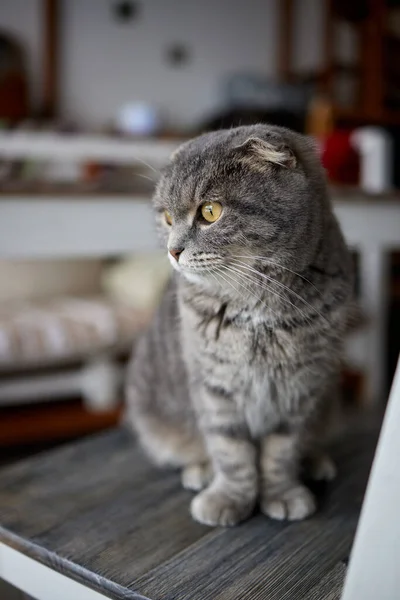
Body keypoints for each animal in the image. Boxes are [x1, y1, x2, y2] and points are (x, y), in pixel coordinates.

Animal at [125, 125, 354, 524]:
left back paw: (316, 462)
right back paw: (200, 471)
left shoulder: (301, 388)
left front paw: (281, 493)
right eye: (167, 217)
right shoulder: (214, 385)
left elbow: (281, 451)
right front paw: (230, 499)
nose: (172, 250)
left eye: (210, 212)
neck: (256, 314)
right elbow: (230, 451)